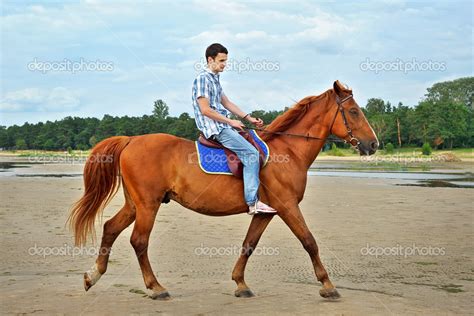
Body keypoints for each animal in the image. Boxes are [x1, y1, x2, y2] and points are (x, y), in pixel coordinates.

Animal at [68, 80, 378, 300]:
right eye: (353, 111)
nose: (373, 144)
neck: (288, 150)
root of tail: (131, 140)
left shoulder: (266, 212)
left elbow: (249, 244)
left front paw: (240, 283)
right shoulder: (288, 206)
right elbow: (309, 241)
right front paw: (327, 285)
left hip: (135, 204)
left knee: (110, 228)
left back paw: (92, 276)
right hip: (148, 205)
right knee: (139, 241)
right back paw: (156, 287)